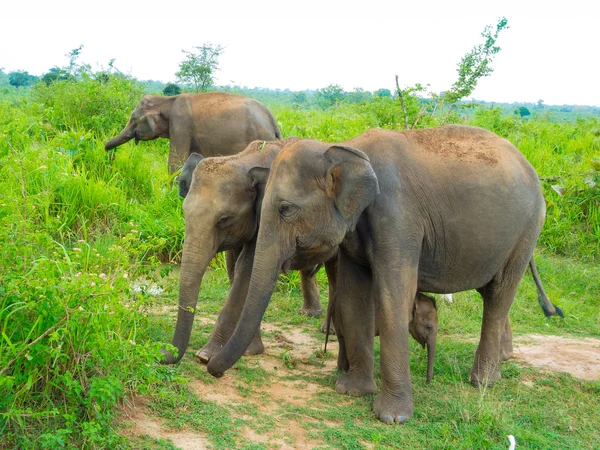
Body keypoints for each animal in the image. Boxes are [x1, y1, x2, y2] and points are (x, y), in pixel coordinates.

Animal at [105, 92, 282, 174]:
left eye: (133, 118)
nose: (107, 151)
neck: (167, 100)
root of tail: (272, 119)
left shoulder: (180, 125)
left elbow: (176, 162)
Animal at [161, 140, 338, 366]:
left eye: (223, 220)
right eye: (184, 213)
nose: (164, 354)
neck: (245, 158)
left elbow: (247, 270)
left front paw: (206, 355)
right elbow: (235, 268)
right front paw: (250, 350)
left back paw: (329, 331)